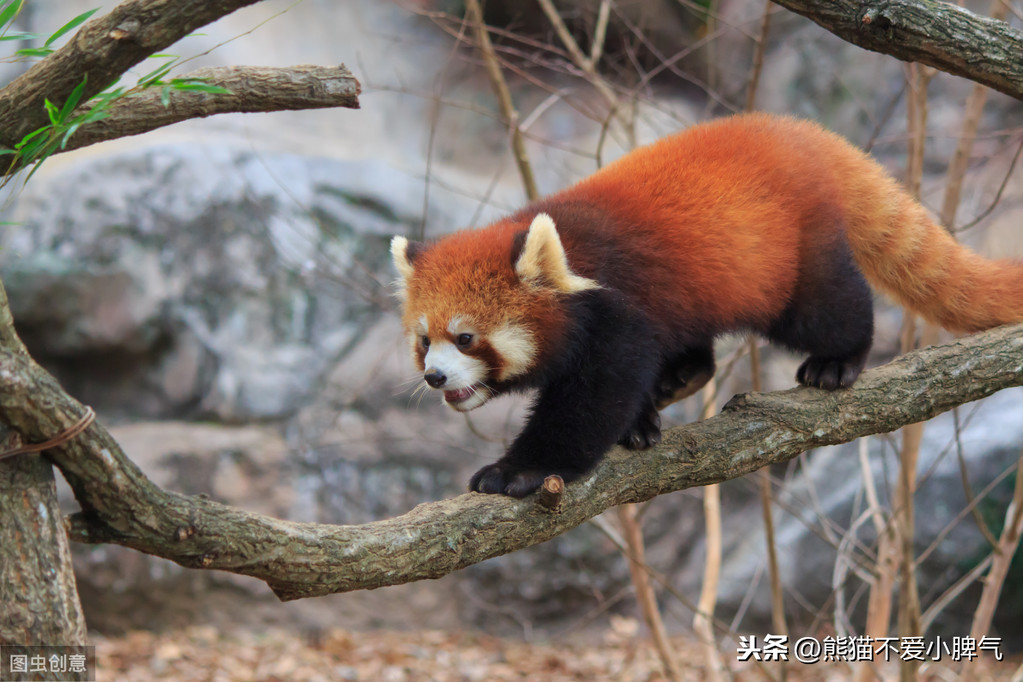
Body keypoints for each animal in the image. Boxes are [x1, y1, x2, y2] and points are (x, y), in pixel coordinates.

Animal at [388, 111, 1023, 496]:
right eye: (424, 340)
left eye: (466, 337)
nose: (435, 376)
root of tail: (803, 134)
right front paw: (639, 424)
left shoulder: (618, 311)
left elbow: (589, 402)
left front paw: (518, 470)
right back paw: (680, 378)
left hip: (790, 257)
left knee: (827, 307)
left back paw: (837, 360)